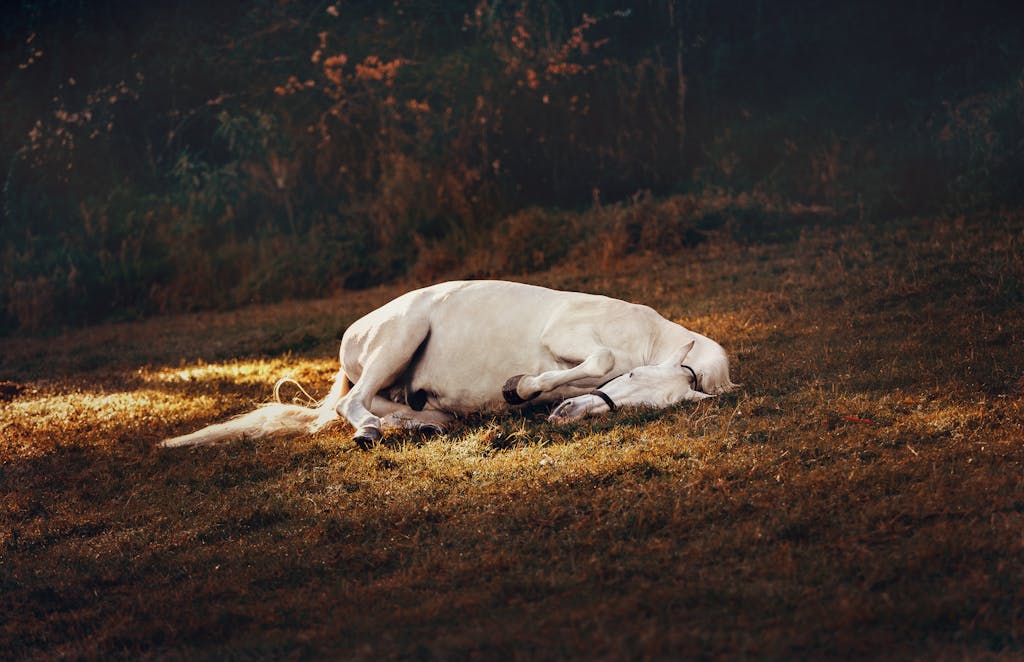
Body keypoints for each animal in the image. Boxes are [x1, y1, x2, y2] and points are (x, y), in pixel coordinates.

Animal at [157, 280, 737, 450]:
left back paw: (422, 424)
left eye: (643, 409)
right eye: (631, 380)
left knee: (385, 404)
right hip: (401, 335)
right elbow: (598, 358)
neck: (648, 335)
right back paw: (371, 432)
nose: (566, 416)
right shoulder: (569, 337)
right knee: (353, 405)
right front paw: (520, 387)